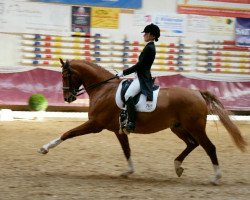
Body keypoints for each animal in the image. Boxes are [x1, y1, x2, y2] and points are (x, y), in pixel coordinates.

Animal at [38, 58, 247, 185]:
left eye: (65, 75)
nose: (68, 98)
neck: (103, 89)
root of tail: (197, 93)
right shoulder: (118, 130)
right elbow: (126, 150)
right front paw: (128, 171)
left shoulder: (95, 125)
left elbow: (68, 133)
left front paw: (45, 148)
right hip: (178, 127)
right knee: (192, 143)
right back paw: (177, 166)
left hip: (195, 127)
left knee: (209, 147)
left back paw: (215, 177)